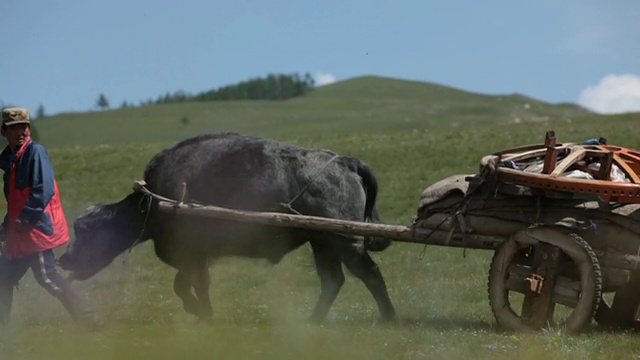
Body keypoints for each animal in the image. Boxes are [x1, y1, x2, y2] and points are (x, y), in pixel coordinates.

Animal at [58, 133, 396, 324]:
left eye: (86, 228)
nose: (64, 259)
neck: (156, 201)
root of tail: (346, 162)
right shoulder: (195, 258)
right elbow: (186, 285)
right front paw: (200, 312)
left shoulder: (193, 256)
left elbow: (192, 286)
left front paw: (202, 313)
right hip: (323, 243)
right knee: (333, 280)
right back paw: (312, 321)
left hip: (345, 242)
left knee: (370, 274)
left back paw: (389, 318)